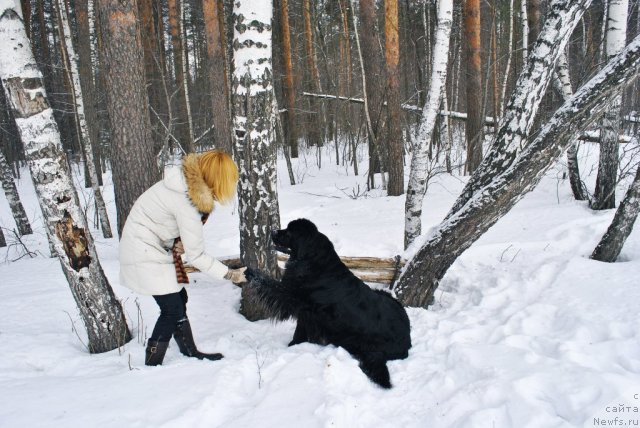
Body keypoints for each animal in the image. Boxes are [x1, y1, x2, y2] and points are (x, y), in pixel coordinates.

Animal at [245, 219, 410, 390]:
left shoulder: (293, 298)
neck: (311, 262)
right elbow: (299, 330)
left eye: (290, 232)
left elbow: (273, 286)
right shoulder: (306, 312)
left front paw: (252, 273)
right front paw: (294, 344)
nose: (272, 231)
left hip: (358, 342)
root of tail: (407, 341)